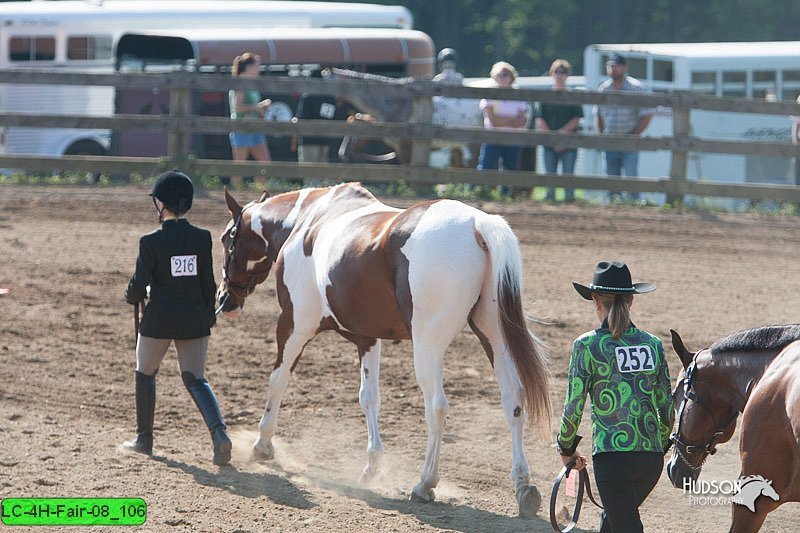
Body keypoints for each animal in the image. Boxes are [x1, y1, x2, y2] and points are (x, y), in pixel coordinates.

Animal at [217, 183, 552, 516]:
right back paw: (523, 486)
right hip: (494, 338)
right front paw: (371, 467)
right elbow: (369, 398)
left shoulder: (293, 324)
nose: (223, 298)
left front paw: (262, 444)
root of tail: (477, 223)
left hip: (428, 347)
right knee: (513, 402)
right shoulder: (367, 338)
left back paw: (425, 483)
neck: (307, 221)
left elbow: (277, 380)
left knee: (437, 407)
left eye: (226, 239)